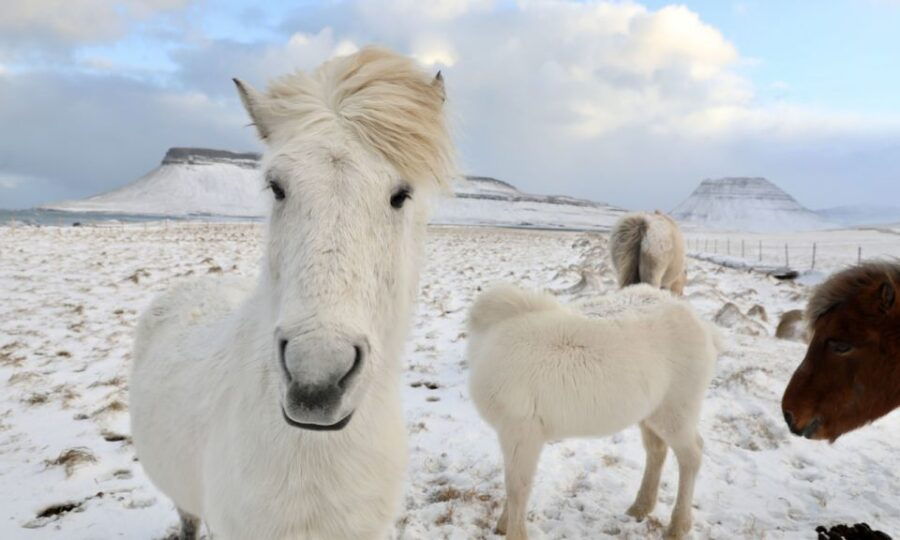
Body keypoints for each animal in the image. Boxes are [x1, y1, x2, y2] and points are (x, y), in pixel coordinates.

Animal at [467, 284, 719, 539]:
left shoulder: (520, 431)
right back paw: (641, 506)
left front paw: (511, 530)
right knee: (657, 451)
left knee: (692, 455)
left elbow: (517, 487)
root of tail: (698, 322)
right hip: (651, 414)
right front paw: (502, 524)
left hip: (676, 412)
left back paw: (678, 526)